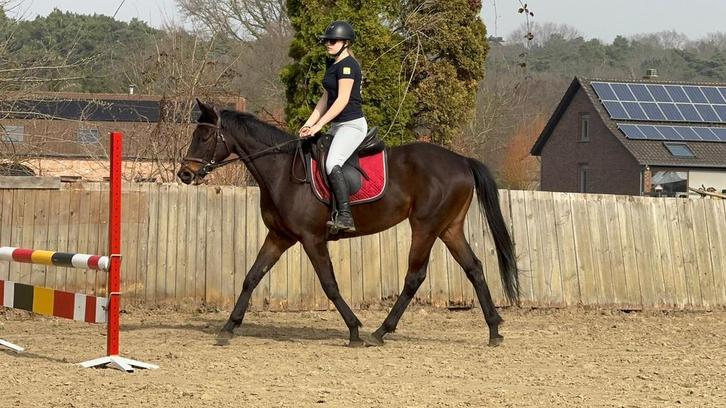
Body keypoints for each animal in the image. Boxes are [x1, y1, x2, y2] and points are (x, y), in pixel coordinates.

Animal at [177, 100, 519, 347]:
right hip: (449, 228)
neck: (281, 172)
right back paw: (493, 330)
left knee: (415, 276)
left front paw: (354, 330)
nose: (185, 174)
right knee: (474, 268)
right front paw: (228, 328)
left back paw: (380, 332)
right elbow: (251, 277)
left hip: (425, 227)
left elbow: (329, 284)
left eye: (204, 137)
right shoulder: (278, 237)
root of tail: (461, 161)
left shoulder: (312, 239)